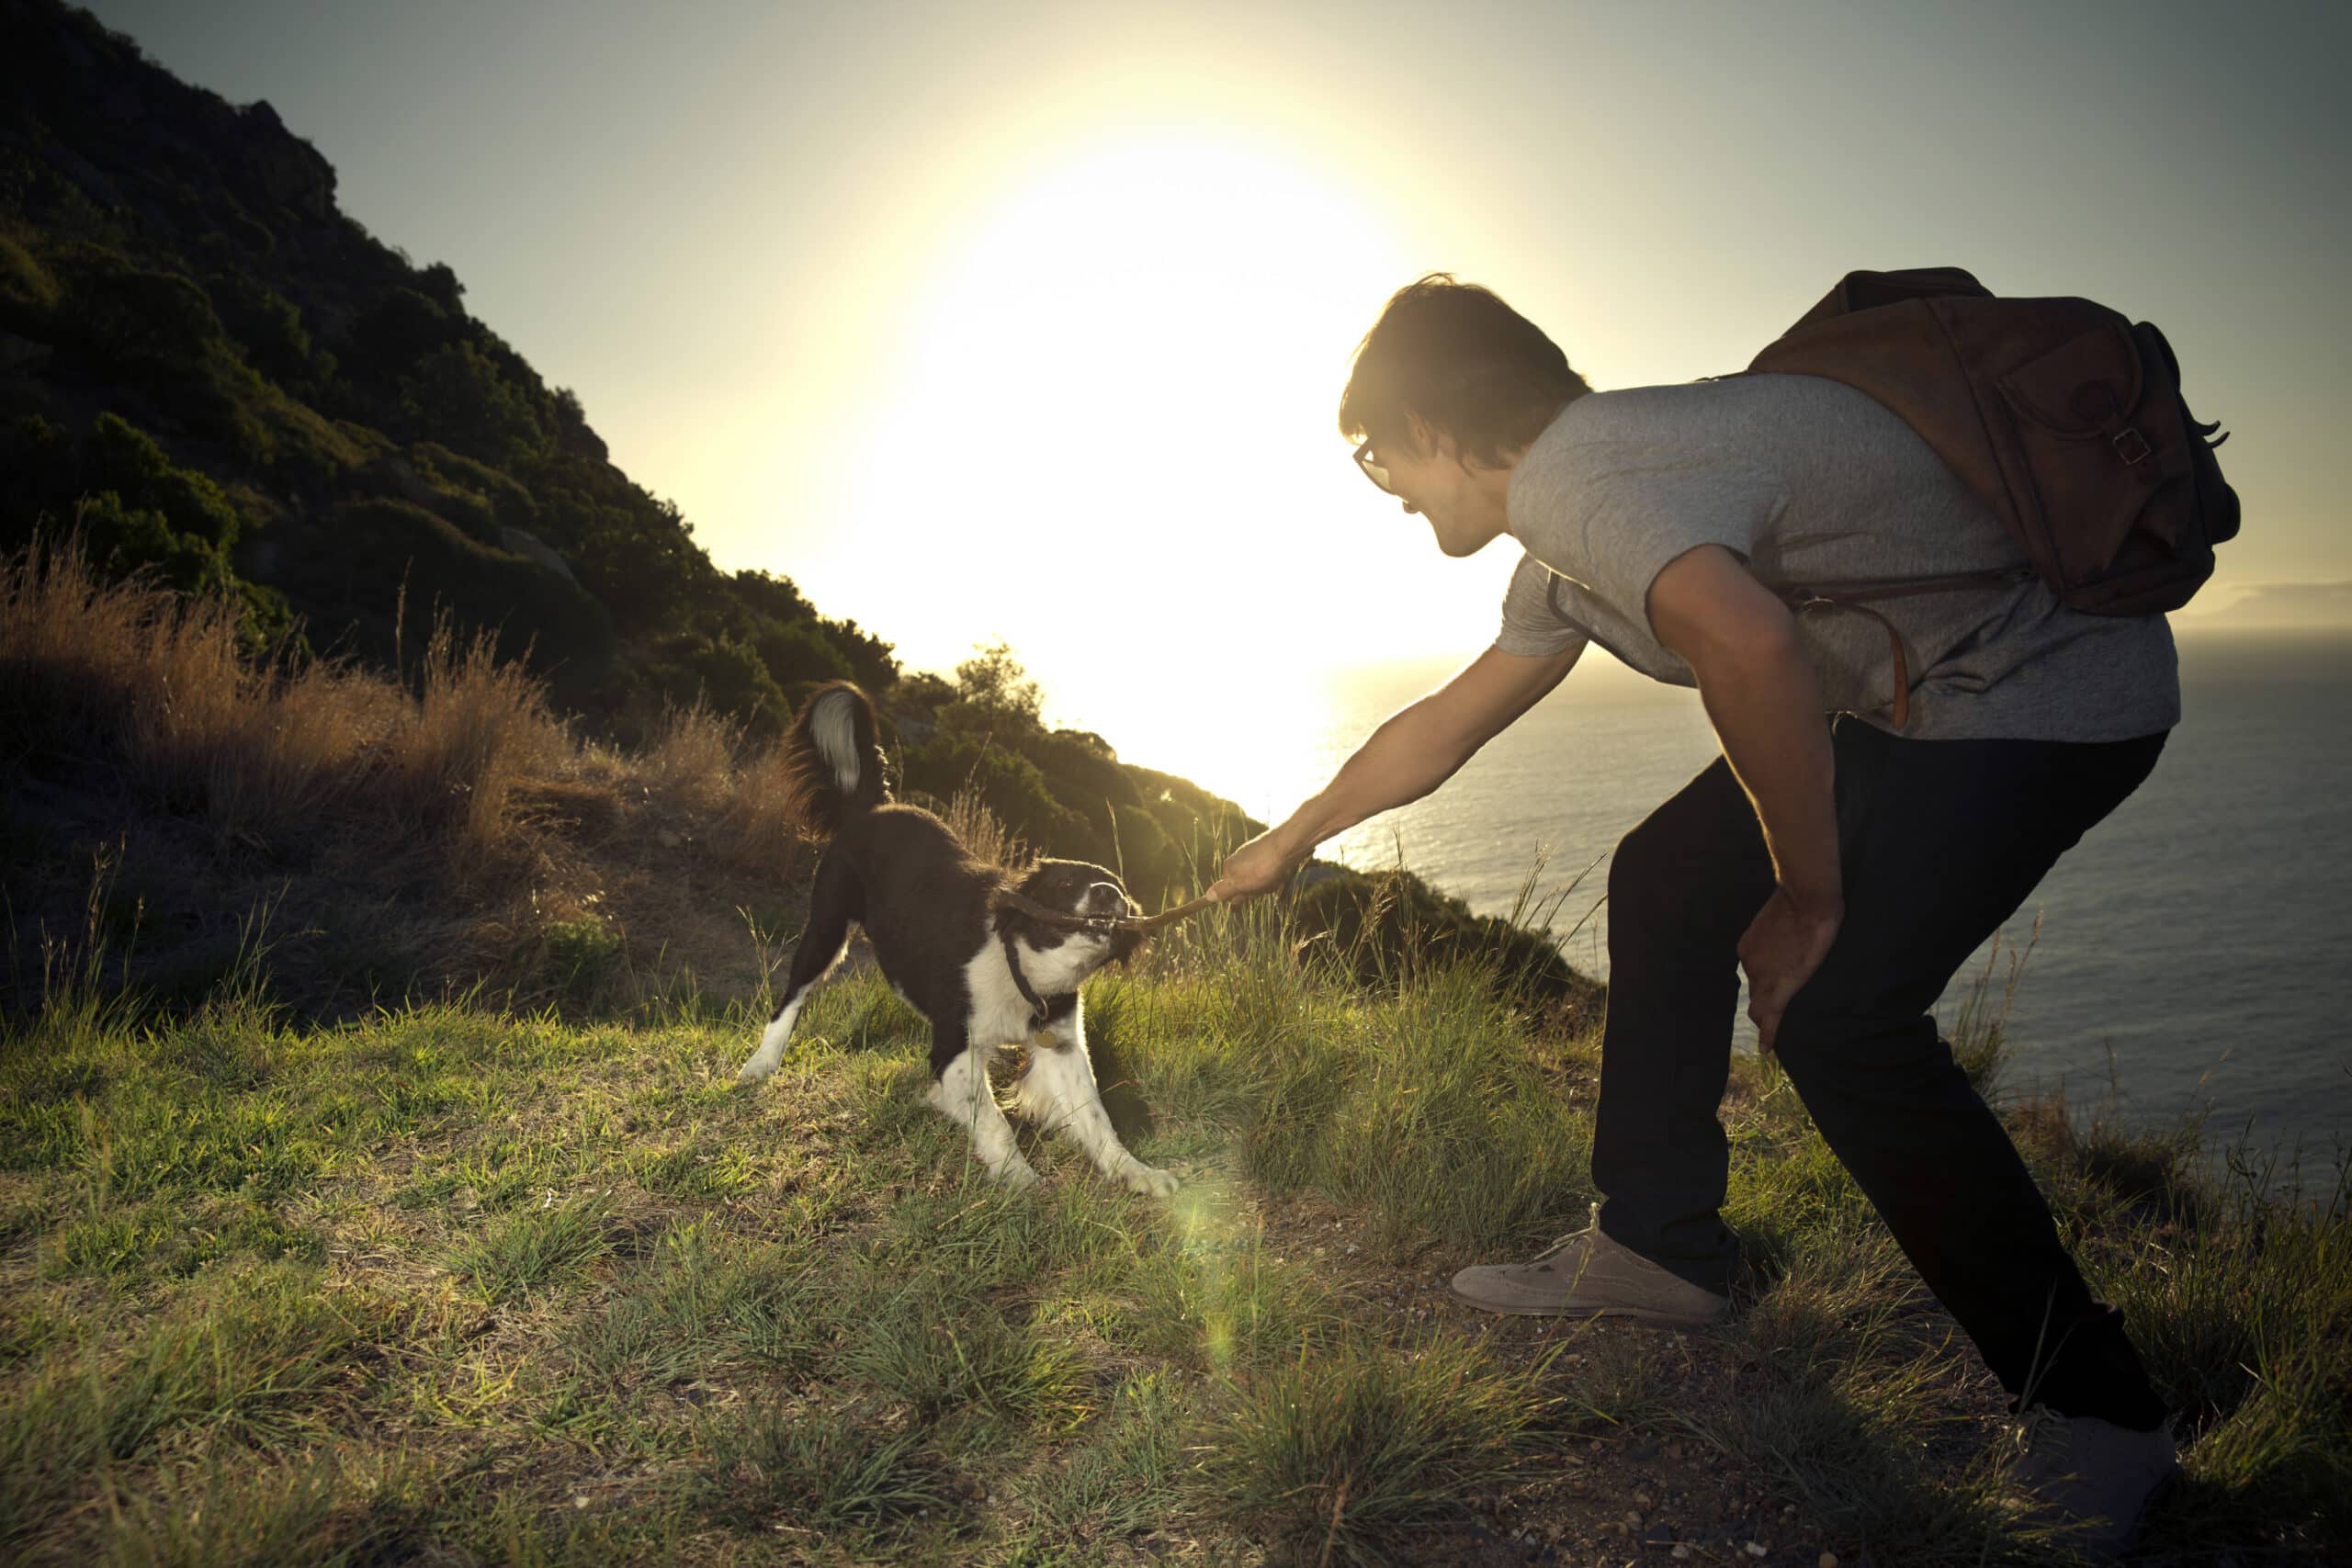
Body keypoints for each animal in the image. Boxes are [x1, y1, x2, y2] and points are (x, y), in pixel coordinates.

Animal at [733, 682, 1176, 1194]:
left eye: (1121, 890)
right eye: (1066, 884)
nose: (1107, 894)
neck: (1022, 968)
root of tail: (874, 806)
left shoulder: (1062, 1047)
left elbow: (1098, 1121)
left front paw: (1137, 1173)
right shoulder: (955, 1046)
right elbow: (994, 1121)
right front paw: (1017, 1175)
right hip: (825, 930)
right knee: (790, 998)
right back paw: (760, 1065)